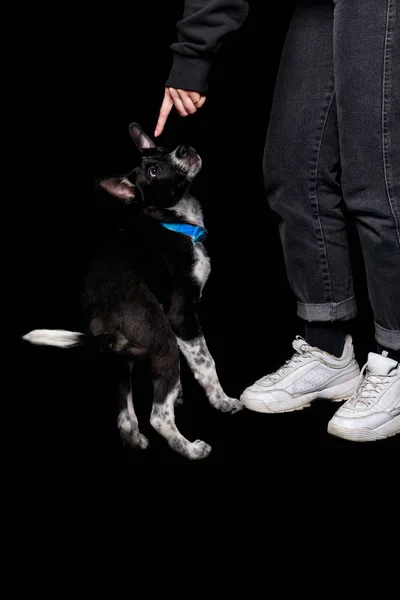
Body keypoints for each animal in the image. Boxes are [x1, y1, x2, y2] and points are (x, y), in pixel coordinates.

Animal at [23, 122, 244, 460]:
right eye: (153, 171)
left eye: (164, 148)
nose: (183, 148)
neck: (173, 217)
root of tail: (102, 318)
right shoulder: (181, 316)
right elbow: (205, 362)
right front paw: (223, 401)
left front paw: (183, 393)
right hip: (162, 334)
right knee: (158, 415)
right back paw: (191, 449)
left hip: (120, 359)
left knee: (125, 418)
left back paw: (137, 440)